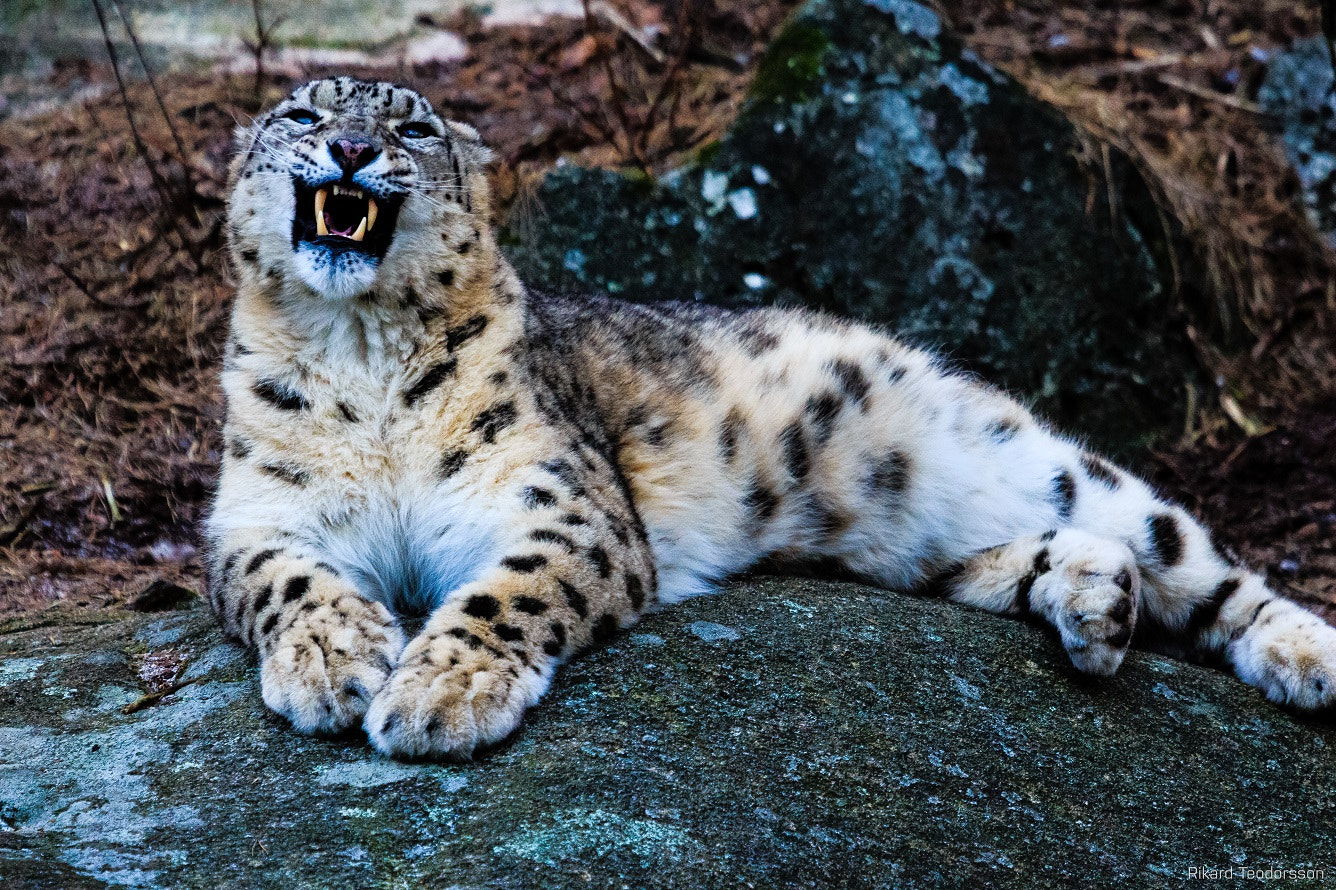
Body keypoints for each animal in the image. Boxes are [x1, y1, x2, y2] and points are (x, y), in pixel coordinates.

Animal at [208, 76, 1336, 760]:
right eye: (301, 117)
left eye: (413, 127)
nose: (352, 146)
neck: (358, 356)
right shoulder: (253, 513)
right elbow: (280, 580)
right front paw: (331, 663)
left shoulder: (554, 500)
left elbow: (509, 593)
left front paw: (438, 694)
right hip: (913, 549)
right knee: (1027, 560)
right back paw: (1095, 604)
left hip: (1044, 462)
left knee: (1198, 560)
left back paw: (1304, 657)